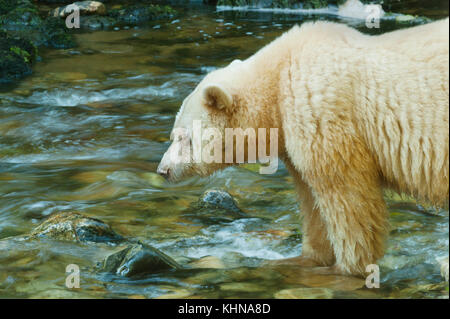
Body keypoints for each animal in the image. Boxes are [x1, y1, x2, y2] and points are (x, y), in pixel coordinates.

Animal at [156, 18, 448, 276]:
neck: (278, 79)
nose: (163, 170)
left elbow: (347, 198)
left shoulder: (323, 117)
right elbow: (312, 202)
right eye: (173, 134)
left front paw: (345, 268)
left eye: (183, 137)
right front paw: (303, 258)